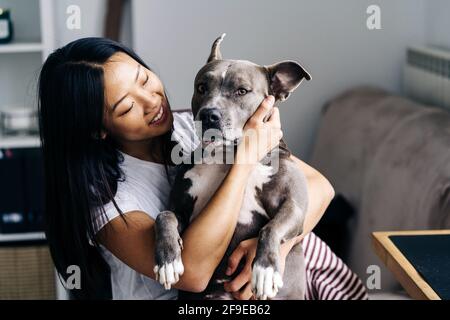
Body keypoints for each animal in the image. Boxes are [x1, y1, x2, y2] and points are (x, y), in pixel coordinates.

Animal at [153, 35, 312, 300]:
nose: (209, 115)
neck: (227, 157)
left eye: (242, 91)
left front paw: (265, 270)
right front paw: (167, 260)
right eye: (201, 88)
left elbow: (270, 228)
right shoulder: (182, 211)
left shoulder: (294, 206)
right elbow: (164, 215)